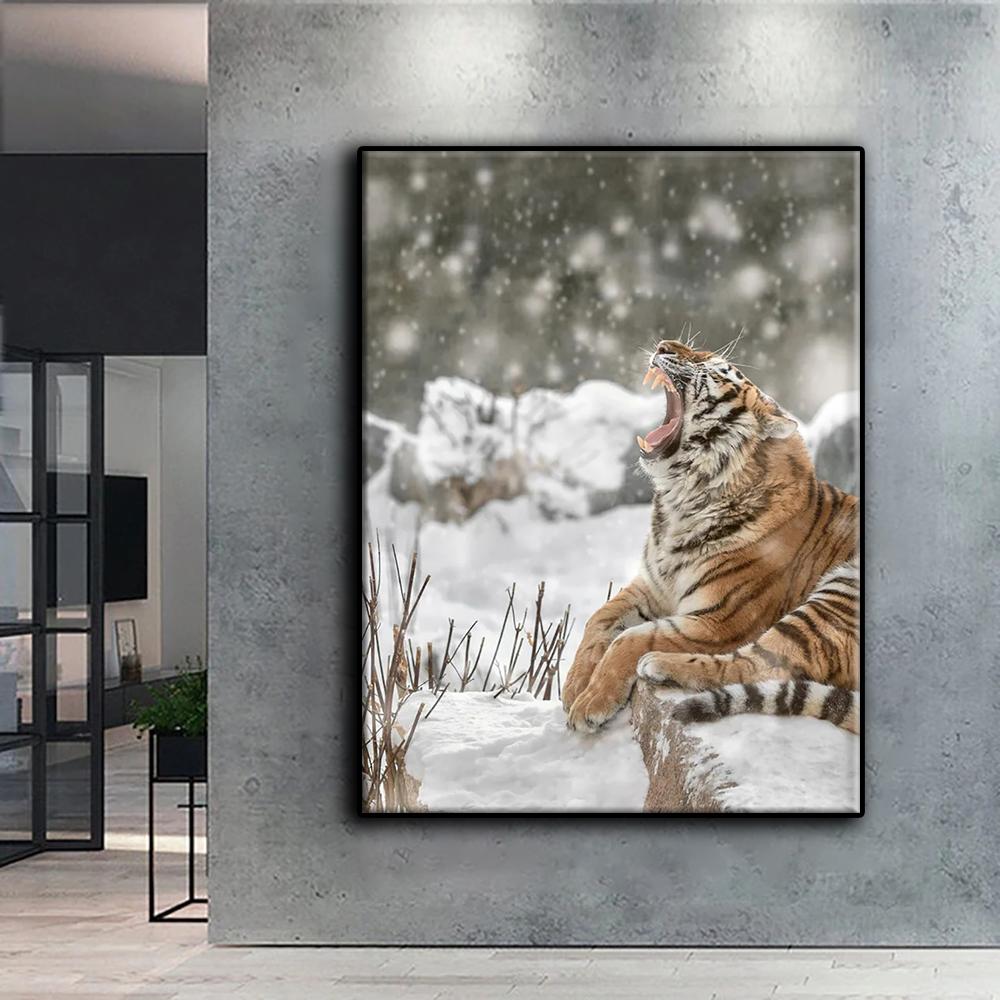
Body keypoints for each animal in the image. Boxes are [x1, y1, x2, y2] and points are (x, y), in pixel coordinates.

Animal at [561, 338, 860, 736]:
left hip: (837, 595)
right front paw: (574, 686)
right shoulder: (653, 586)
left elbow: (632, 637)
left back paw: (658, 664)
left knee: (761, 666)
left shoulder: (721, 619)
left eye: (718, 369)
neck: (680, 501)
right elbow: (599, 618)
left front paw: (589, 703)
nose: (663, 344)